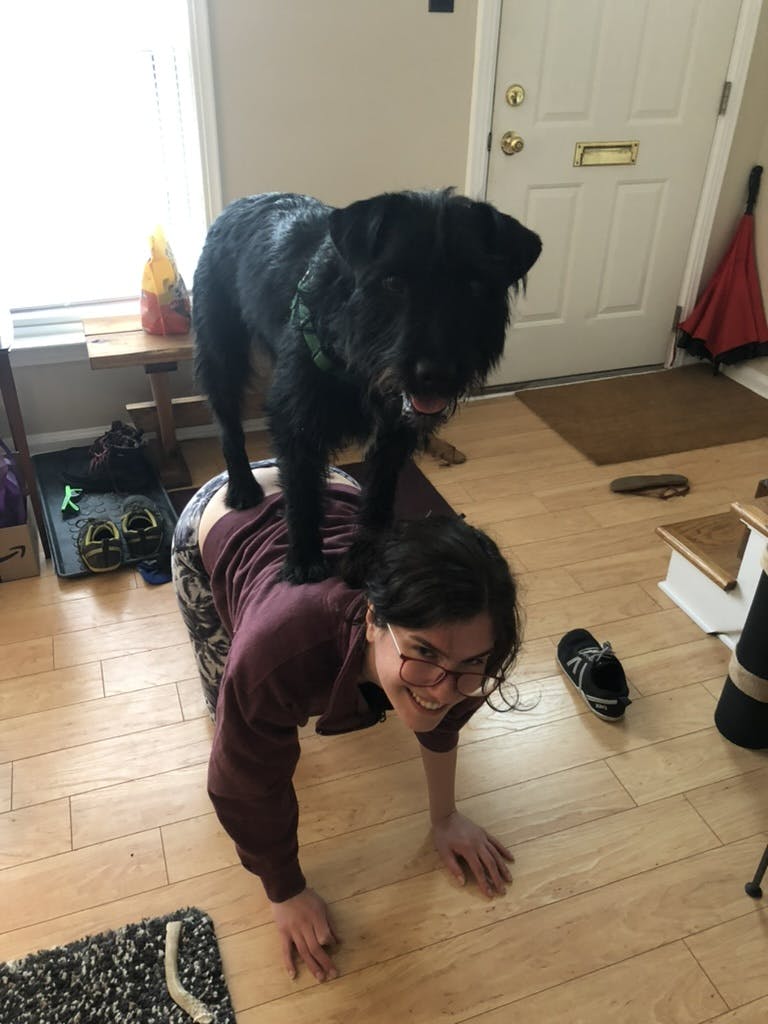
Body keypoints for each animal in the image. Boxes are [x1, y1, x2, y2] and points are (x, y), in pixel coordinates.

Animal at [192, 187, 540, 581]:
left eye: (476, 286)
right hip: (221, 355)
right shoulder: (297, 422)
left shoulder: (393, 437)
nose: (437, 374)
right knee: (228, 425)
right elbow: (302, 491)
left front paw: (369, 556)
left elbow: (378, 497)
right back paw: (242, 487)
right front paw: (304, 559)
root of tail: (240, 203)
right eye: (393, 282)